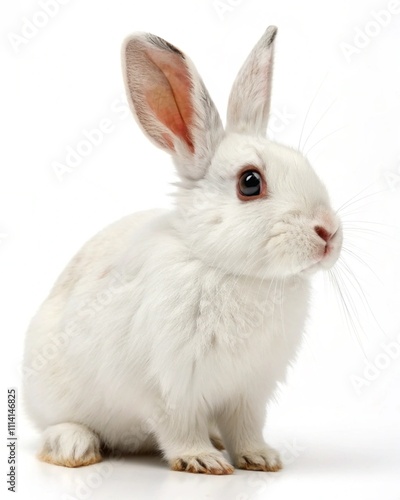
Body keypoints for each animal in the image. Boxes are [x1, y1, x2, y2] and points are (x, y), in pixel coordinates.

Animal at [22, 26, 340, 472]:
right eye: (250, 182)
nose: (329, 233)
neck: (226, 268)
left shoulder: (248, 392)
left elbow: (245, 428)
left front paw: (260, 457)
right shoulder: (169, 388)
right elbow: (179, 428)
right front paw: (203, 461)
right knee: (60, 423)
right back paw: (73, 447)